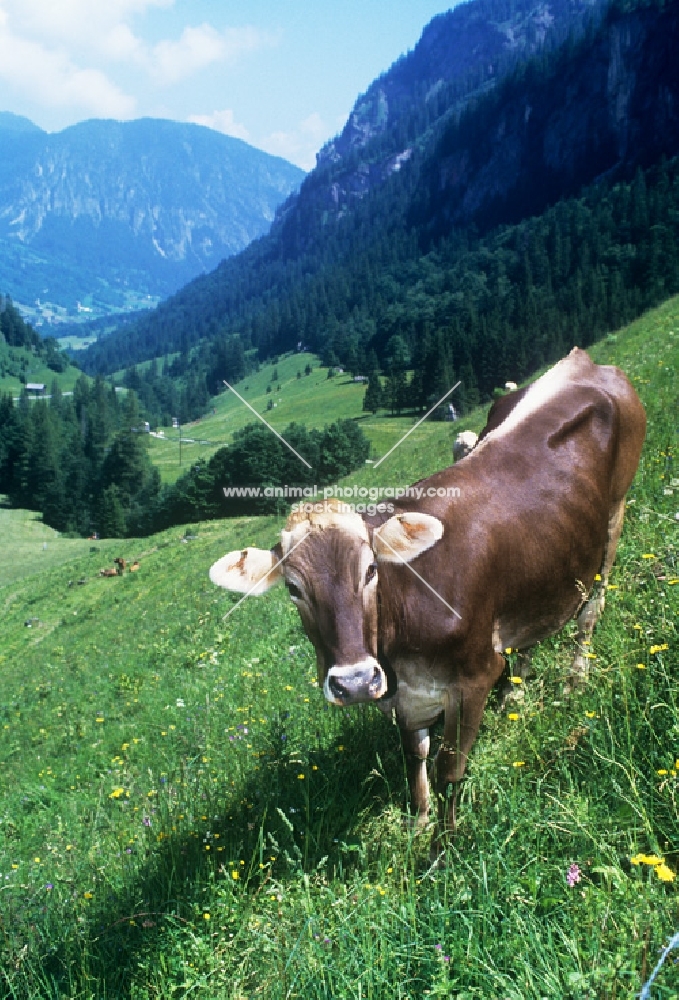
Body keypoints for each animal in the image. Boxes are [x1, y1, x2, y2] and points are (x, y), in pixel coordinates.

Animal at [210, 352, 644, 852]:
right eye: (293, 589)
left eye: (371, 571)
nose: (354, 683)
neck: (397, 637)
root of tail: (581, 360)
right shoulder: (403, 696)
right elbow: (414, 756)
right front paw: (418, 823)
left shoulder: (473, 678)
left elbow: (449, 768)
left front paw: (445, 844)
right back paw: (515, 693)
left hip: (614, 514)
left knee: (590, 612)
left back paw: (574, 680)